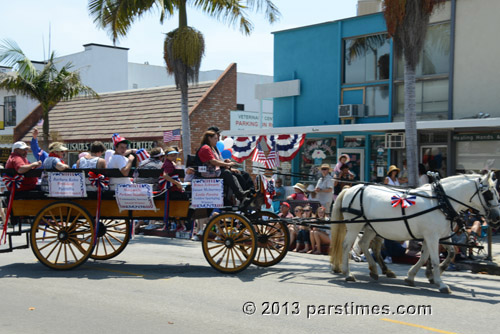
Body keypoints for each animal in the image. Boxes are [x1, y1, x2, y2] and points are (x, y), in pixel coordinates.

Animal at [330, 174, 498, 294]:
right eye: (489, 194)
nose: (496, 217)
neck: (440, 202)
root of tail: (350, 189)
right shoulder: (432, 236)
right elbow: (434, 259)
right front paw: (440, 283)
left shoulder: (436, 236)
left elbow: (437, 255)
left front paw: (414, 276)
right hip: (354, 226)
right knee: (346, 245)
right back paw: (348, 273)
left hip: (371, 227)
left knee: (364, 244)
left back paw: (375, 270)